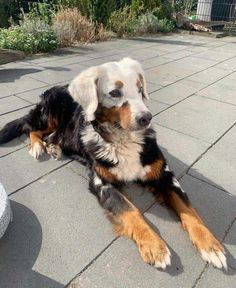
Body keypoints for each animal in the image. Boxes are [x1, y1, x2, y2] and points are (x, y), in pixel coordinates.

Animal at [0, 56, 227, 270]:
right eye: (115, 93)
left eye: (140, 89)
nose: (147, 118)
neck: (123, 139)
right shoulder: (103, 183)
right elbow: (131, 211)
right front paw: (154, 246)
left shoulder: (165, 175)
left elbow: (189, 211)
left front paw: (210, 245)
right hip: (51, 112)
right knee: (31, 128)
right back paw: (38, 146)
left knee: (50, 135)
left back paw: (54, 147)